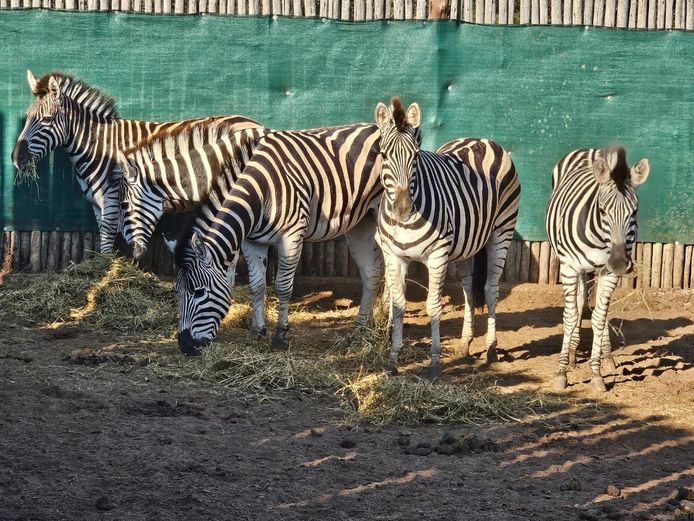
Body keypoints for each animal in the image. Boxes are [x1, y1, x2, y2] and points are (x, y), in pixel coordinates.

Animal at [162, 123, 386, 354]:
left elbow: (283, 287)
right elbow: (256, 286)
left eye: (199, 292)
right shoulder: (251, 242)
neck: (258, 193)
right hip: (361, 223)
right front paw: (256, 333)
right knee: (372, 272)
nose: (185, 346)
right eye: (178, 291)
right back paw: (360, 331)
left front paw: (280, 335)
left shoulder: (291, 236)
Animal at [375, 98, 521, 379]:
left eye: (415, 156)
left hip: (502, 230)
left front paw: (434, 364)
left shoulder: (437, 255)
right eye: (384, 155)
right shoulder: (394, 255)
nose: (403, 208)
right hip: (466, 244)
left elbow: (433, 307)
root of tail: (483, 139)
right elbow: (399, 306)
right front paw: (392, 360)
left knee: (490, 289)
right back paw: (465, 343)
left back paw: (491, 349)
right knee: (468, 288)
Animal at [546, 147, 649, 392]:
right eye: (602, 210)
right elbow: (570, 316)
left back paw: (606, 356)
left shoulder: (608, 273)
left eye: (634, 212)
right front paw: (562, 372)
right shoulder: (569, 268)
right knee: (578, 303)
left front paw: (596, 373)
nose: (619, 262)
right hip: (574, 267)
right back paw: (572, 353)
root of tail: (589, 151)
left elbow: (599, 319)